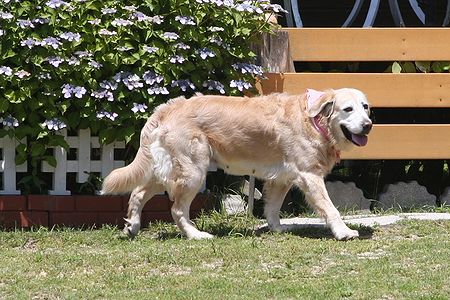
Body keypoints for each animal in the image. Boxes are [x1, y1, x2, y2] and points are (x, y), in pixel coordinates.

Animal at [103, 88, 372, 240]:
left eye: (366, 107)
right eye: (347, 109)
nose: (368, 125)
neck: (315, 121)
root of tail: (170, 105)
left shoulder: (282, 178)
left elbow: (272, 207)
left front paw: (276, 229)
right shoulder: (309, 175)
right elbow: (331, 208)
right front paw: (344, 232)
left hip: (167, 170)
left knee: (138, 193)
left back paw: (132, 227)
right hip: (192, 172)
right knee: (177, 209)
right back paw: (195, 235)